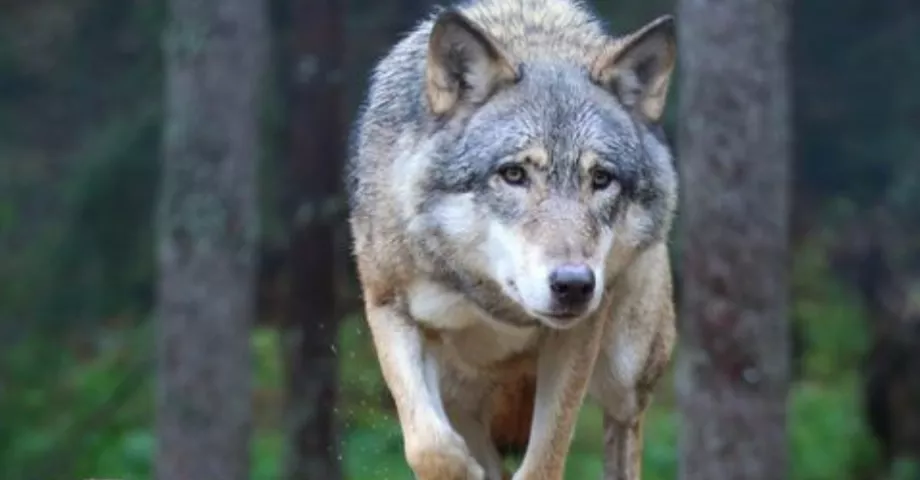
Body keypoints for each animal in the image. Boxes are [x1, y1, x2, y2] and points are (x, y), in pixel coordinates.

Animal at [345, 0, 678, 478]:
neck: (496, 305)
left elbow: (544, 459)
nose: (574, 285)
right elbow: (429, 446)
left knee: (625, 432)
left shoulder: (580, 332)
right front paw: (463, 470)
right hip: (462, 396)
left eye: (601, 179)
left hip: (624, 370)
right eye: (514, 174)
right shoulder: (389, 306)